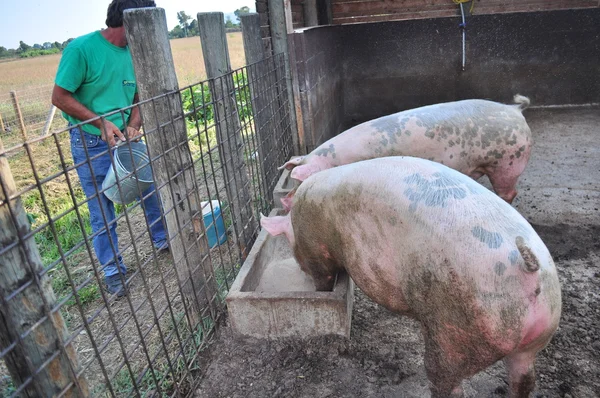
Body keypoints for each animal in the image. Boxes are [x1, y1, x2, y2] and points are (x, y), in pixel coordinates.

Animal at [262, 156, 564, 398]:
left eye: (289, 241)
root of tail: (528, 269)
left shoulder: (316, 248)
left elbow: (323, 277)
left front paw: (320, 292)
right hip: (535, 338)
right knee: (524, 380)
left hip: (457, 331)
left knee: (447, 382)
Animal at [284, 95, 532, 202]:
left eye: (301, 182)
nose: (286, 201)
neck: (334, 162)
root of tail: (514, 110)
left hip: (508, 161)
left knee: (509, 191)